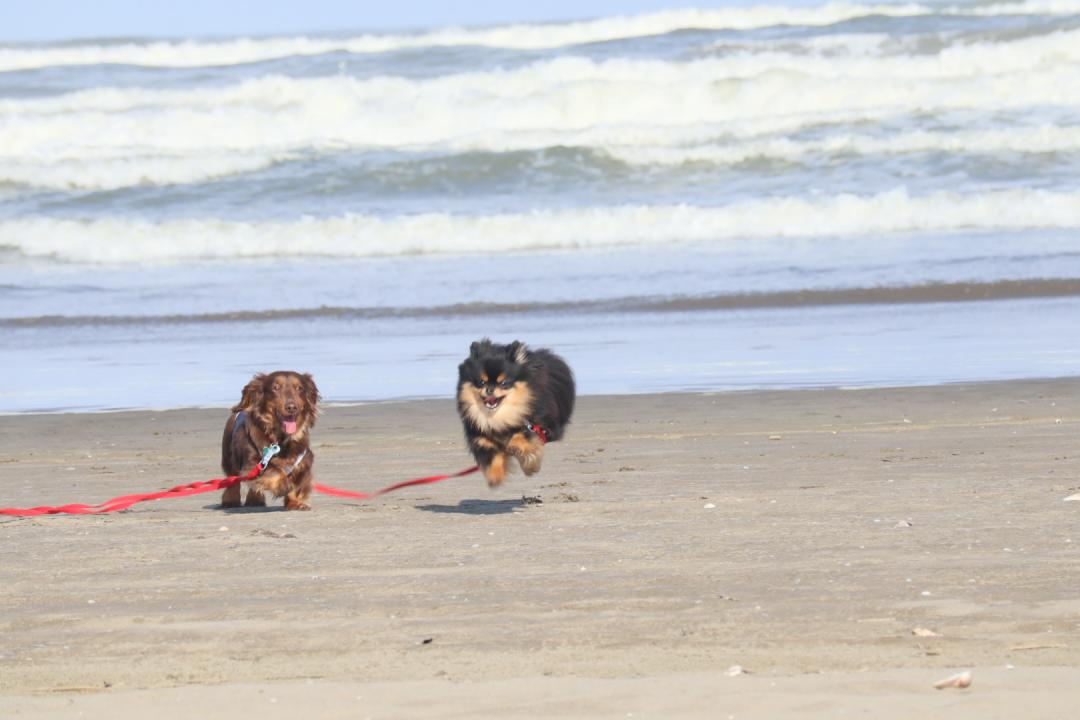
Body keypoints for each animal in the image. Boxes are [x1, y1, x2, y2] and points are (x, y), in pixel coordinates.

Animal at [220, 371, 317, 511]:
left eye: (300, 388)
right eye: (275, 388)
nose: (292, 407)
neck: (282, 439)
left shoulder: (303, 460)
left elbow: (298, 481)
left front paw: (295, 503)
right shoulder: (254, 463)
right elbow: (275, 473)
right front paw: (283, 485)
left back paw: (255, 500)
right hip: (228, 458)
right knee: (232, 479)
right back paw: (230, 500)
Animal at [455, 338, 574, 487]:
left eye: (504, 383)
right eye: (481, 382)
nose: (489, 389)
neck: (499, 418)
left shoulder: (539, 427)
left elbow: (520, 436)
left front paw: (526, 460)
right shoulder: (481, 439)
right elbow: (493, 456)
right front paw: (495, 475)